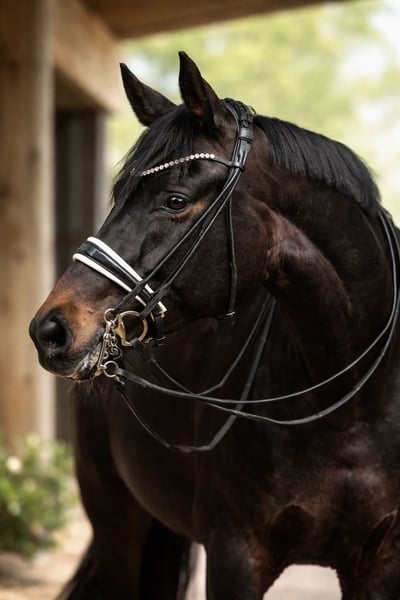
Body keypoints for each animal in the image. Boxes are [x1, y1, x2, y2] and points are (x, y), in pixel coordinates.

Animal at [29, 51, 400, 599]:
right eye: (117, 196)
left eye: (175, 200)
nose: (50, 330)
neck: (352, 404)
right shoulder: (234, 556)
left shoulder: (377, 565)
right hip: (116, 519)